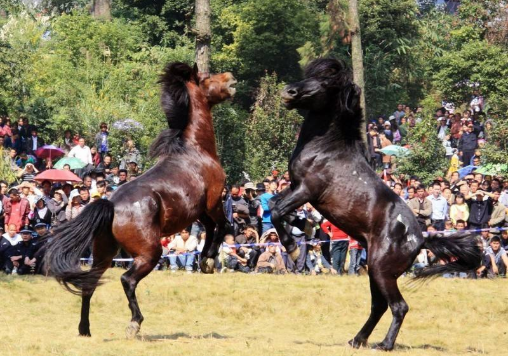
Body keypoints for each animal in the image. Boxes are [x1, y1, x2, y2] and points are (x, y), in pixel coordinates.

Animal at [45, 62, 236, 338]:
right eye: (205, 77)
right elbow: (223, 225)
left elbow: (210, 228)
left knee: (90, 284)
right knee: (127, 280)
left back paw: (85, 330)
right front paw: (209, 259)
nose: (230, 78)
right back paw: (134, 323)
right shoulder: (213, 201)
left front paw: (204, 260)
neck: (195, 151)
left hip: (104, 253)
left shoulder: (198, 210)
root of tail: (111, 205)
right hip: (149, 253)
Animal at [272, 58, 482, 350]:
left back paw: (385, 344)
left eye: (325, 82)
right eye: (309, 74)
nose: (289, 92)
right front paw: (301, 227)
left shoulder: (306, 190)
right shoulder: (294, 187)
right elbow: (275, 204)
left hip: (382, 271)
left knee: (398, 306)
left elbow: (276, 211)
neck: (326, 149)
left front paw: (292, 248)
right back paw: (357, 339)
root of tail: (420, 240)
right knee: (379, 306)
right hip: (375, 271)